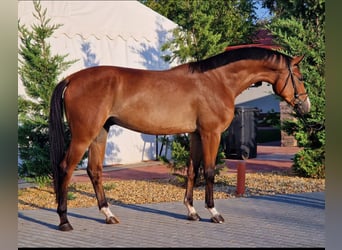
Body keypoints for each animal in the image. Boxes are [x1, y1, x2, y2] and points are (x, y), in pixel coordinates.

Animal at [50, 45, 310, 230]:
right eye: (299, 77)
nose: (306, 106)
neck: (217, 81)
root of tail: (71, 78)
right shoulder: (211, 133)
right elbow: (209, 171)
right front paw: (214, 213)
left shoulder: (196, 134)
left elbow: (193, 171)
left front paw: (192, 212)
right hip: (84, 135)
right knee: (65, 168)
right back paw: (64, 221)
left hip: (100, 133)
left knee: (94, 171)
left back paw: (108, 215)